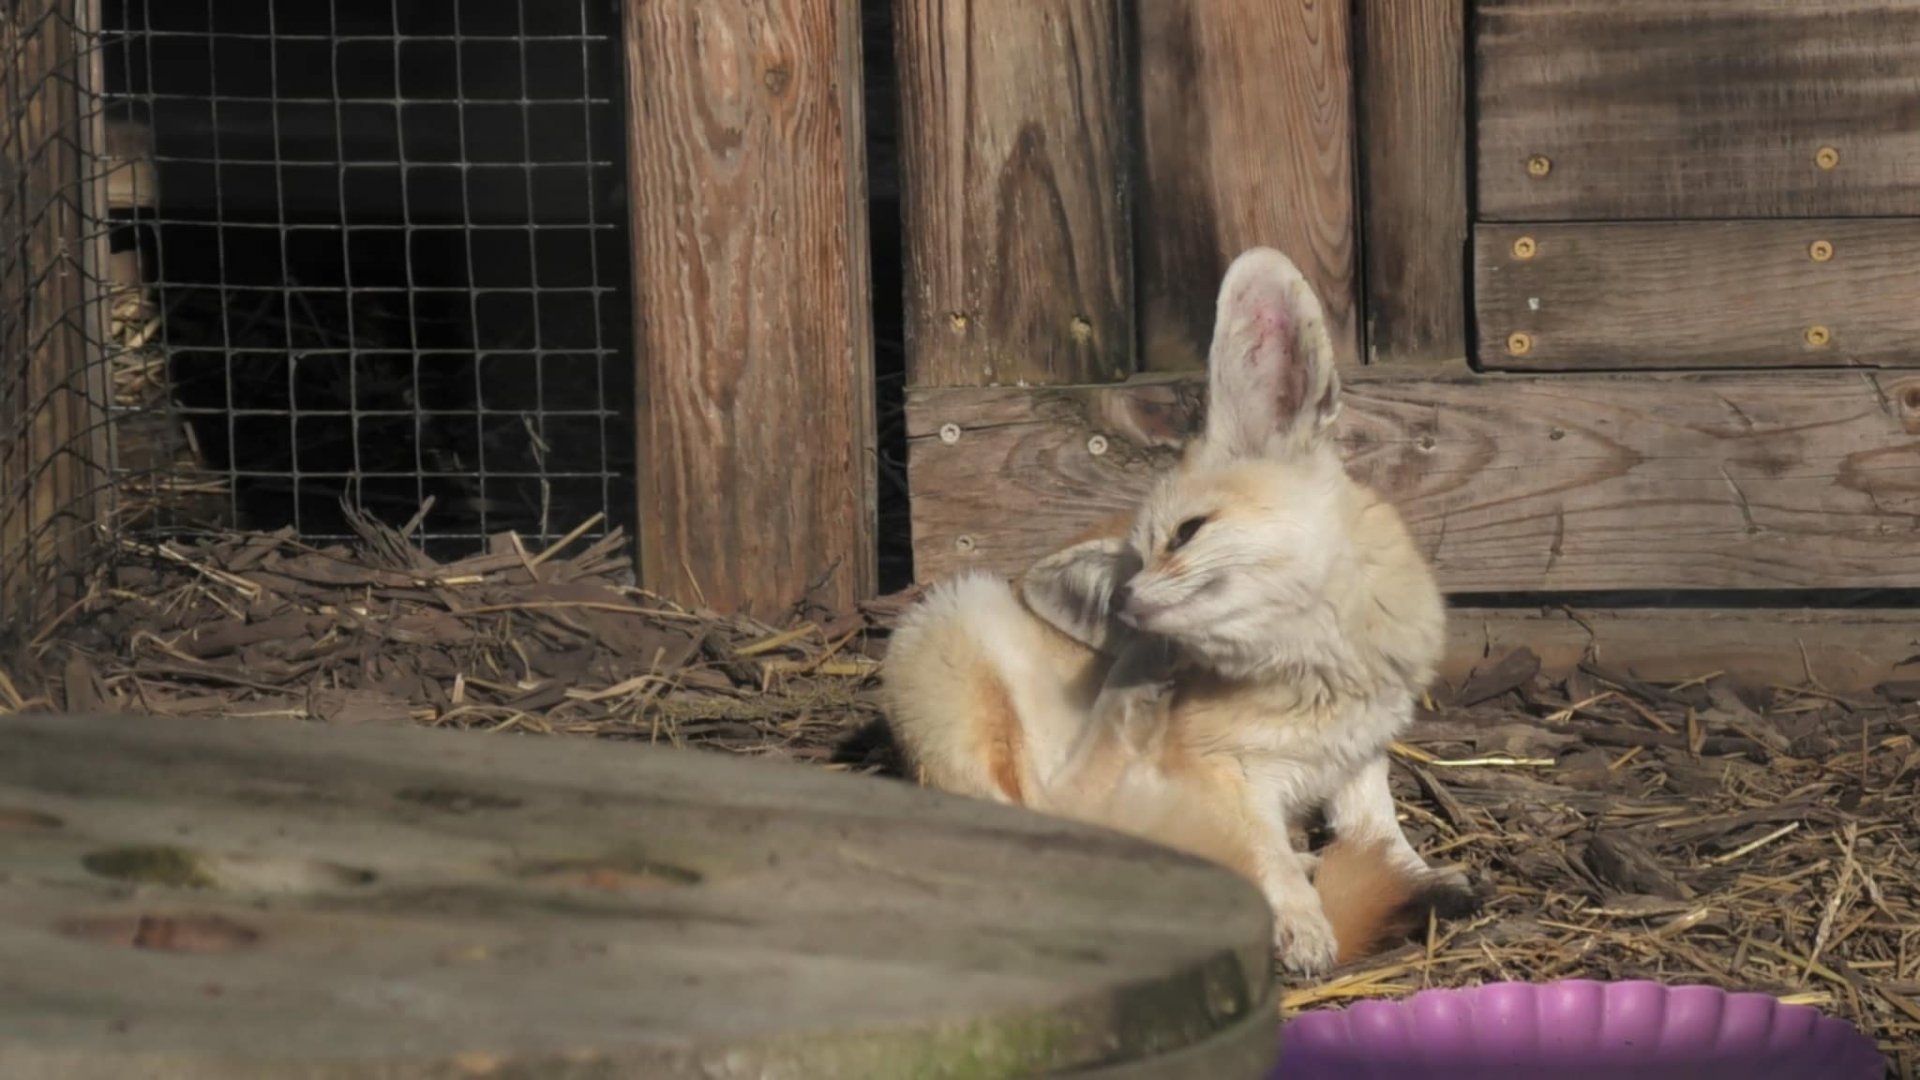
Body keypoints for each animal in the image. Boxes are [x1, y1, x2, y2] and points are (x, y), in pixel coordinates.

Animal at [880, 247, 1477, 975]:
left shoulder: (1361, 754)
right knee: (1063, 805)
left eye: (1187, 533)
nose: (1122, 604)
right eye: (1136, 562)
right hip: (959, 615)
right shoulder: (1221, 777)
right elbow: (1265, 853)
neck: (1320, 685)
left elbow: (1378, 831)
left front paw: (1416, 874)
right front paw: (1299, 919)